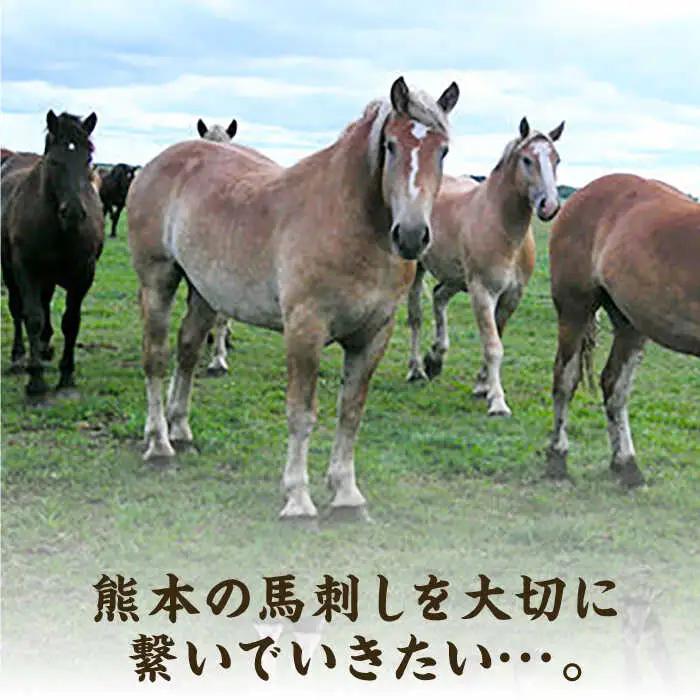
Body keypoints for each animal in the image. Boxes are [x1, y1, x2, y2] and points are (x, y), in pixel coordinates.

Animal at [1, 111, 104, 398]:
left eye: (88, 159)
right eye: (55, 161)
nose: (74, 212)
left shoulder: (83, 275)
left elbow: (71, 321)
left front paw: (66, 375)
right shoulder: (27, 271)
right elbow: (32, 317)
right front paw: (35, 380)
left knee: (45, 303)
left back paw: (45, 347)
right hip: (11, 271)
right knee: (17, 310)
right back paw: (19, 356)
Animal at [128, 77, 459, 520]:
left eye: (443, 150)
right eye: (390, 145)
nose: (410, 235)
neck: (349, 224)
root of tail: (157, 163)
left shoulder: (374, 335)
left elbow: (350, 412)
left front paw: (347, 495)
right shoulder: (305, 329)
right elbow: (302, 413)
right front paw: (298, 501)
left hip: (204, 292)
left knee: (187, 350)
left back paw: (180, 430)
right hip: (158, 281)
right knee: (156, 358)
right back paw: (160, 445)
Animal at [406, 117, 565, 416]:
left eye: (556, 159)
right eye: (527, 159)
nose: (549, 206)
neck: (502, 226)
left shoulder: (511, 297)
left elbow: (496, 336)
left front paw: (482, 386)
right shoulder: (483, 292)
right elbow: (493, 346)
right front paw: (498, 402)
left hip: (456, 279)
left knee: (439, 298)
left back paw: (436, 358)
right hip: (418, 270)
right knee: (416, 317)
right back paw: (417, 369)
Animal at [546, 173, 700, 487]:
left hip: (630, 324)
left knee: (614, 385)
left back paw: (625, 465)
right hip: (574, 309)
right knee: (565, 379)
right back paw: (557, 458)